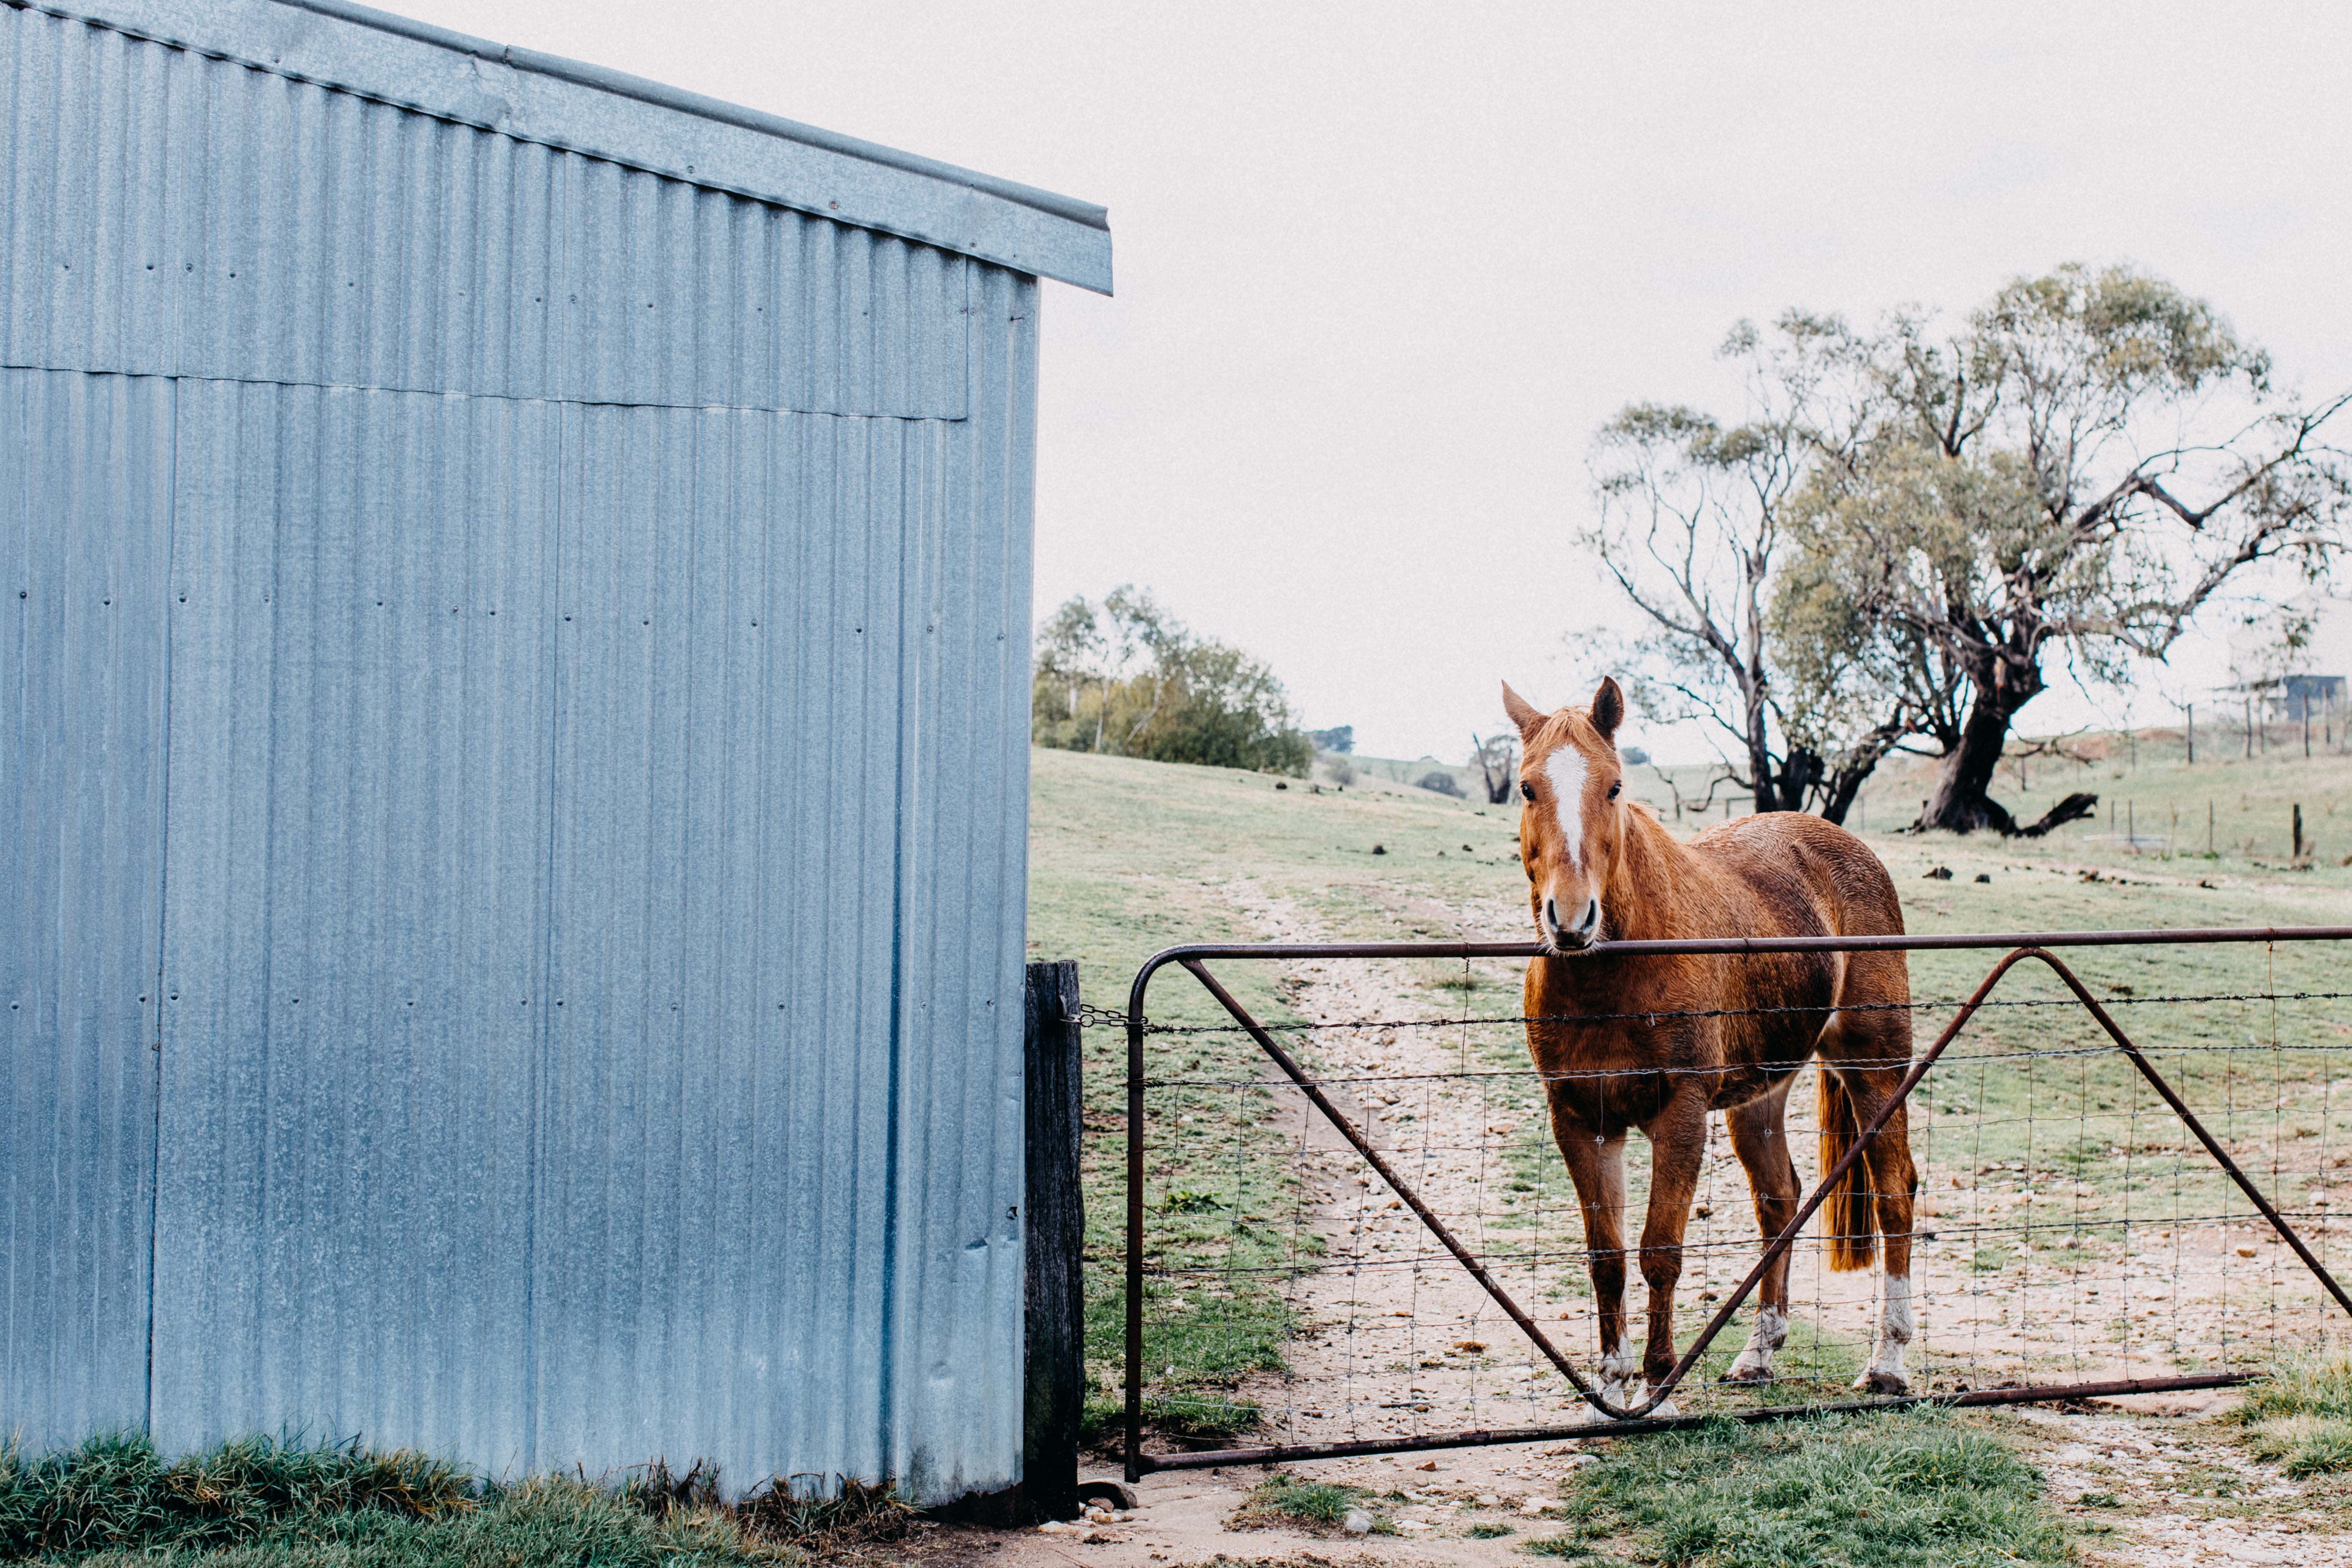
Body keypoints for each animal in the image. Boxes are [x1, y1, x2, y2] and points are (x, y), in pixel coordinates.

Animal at [1503, 677, 1918, 1412]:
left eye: (1613, 787)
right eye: (1527, 787)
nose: (1572, 918)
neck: (1613, 968)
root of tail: (1845, 845)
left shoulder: (1681, 1113)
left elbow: (1659, 1251)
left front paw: (1659, 1386)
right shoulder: (1580, 1118)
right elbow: (1606, 1256)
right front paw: (1610, 1382)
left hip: (1875, 1067)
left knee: (1895, 1194)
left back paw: (1888, 1361)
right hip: (1761, 1094)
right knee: (1779, 1199)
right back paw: (1758, 1352)